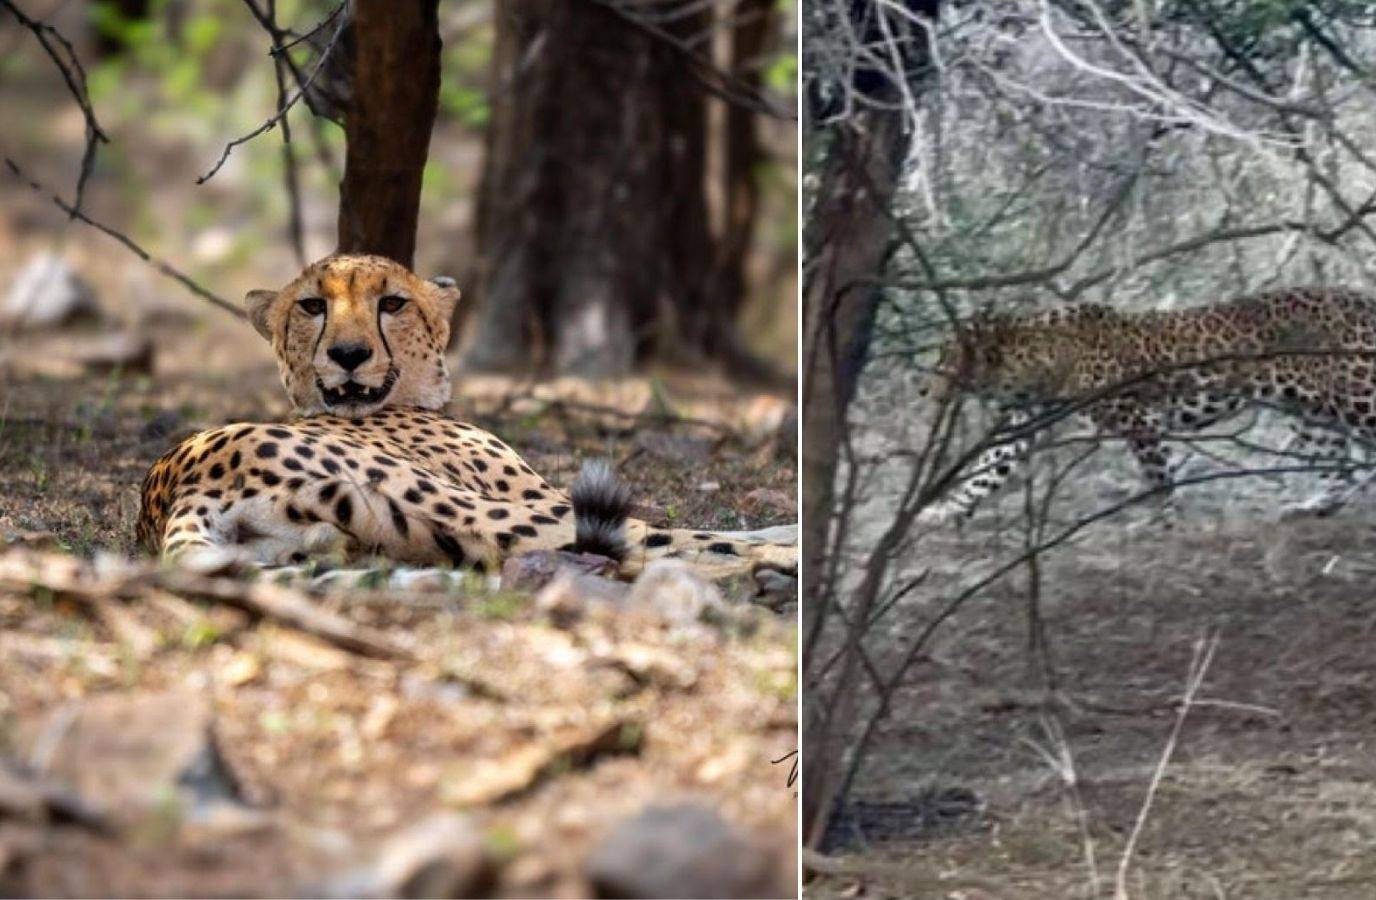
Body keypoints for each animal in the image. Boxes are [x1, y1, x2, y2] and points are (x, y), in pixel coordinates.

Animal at [136, 254, 797, 581]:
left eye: (393, 303)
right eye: (311, 307)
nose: (348, 354)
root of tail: (176, 486)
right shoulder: (541, 496)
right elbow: (695, 530)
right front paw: (780, 539)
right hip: (478, 508)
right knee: (660, 544)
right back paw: (778, 568)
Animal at [915, 286, 1376, 525]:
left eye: (944, 360)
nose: (922, 391)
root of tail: (1362, 299)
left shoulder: (1136, 418)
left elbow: (1158, 473)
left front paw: (1164, 518)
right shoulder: (1025, 420)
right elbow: (987, 468)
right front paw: (943, 509)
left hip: (1355, 395)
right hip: (1311, 412)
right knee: (1339, 465)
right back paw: (1318, 504)